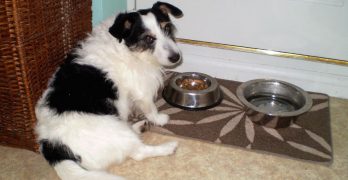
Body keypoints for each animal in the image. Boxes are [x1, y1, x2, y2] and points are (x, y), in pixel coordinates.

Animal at [35, 1, 184, 180]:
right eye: (148, 38)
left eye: (167, 28)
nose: (176, 57)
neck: (126, 47)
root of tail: (53, 146)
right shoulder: (141, 89)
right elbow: (150, 107)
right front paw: (159, 119)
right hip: (117, 130)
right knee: (139, 152)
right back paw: (167, 147)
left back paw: (139, 126)